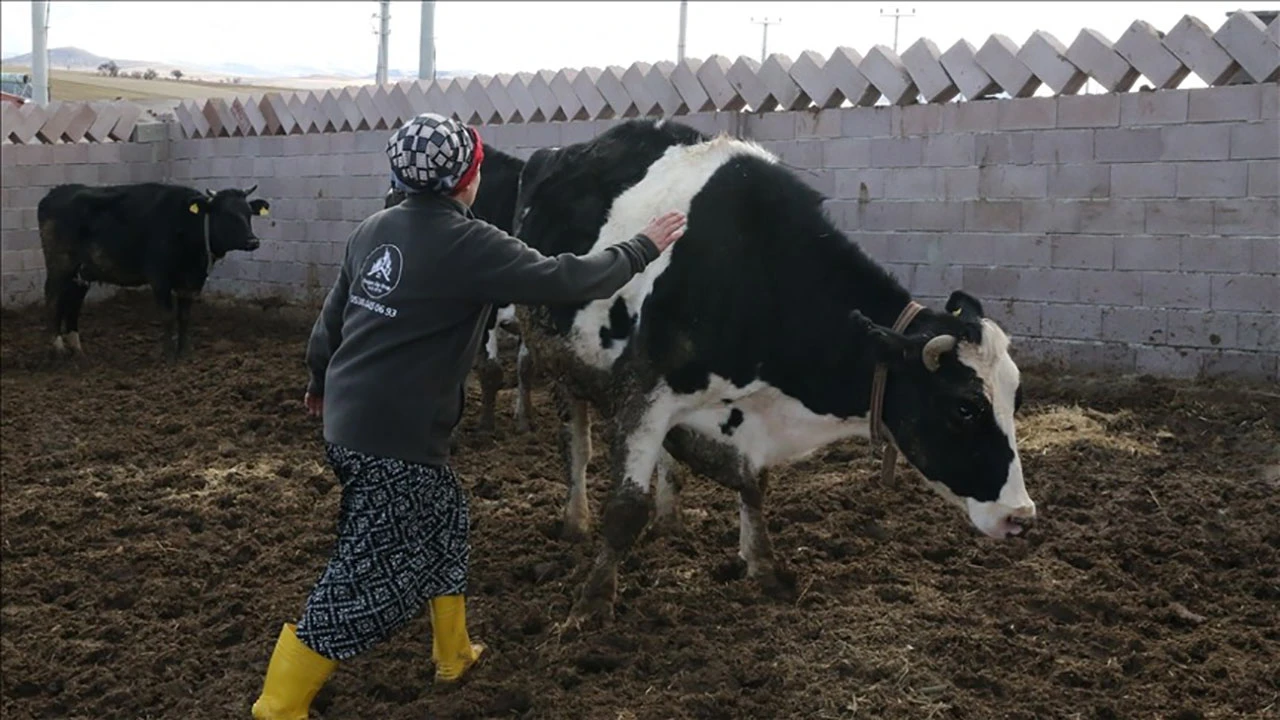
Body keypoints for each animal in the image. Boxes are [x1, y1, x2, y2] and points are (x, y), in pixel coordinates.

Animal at [39, 180, 267, 356]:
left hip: (81, 273)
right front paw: (167, 353)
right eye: (226, 214)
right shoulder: (160, 278)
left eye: (249, 213)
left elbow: (184, 316)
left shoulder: (191, 281)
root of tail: (55, 193)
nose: (253, 241)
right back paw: (58, 348)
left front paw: (184, 352)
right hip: (60, 266)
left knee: (73, 304)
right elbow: (167, 315)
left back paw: (77, 349)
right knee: (52, 300)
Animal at [509, 117, 1039, 622]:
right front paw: (592, 604)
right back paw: (575, 519)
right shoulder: (646, 392)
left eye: (1014, 397)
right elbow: (624, 507)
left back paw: (670, 517)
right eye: (965, 407)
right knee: (576, 443)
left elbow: (753, 483)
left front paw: (763, 566)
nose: (1020, 515)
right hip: (561, 358)